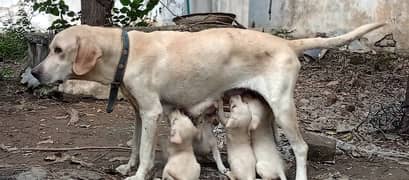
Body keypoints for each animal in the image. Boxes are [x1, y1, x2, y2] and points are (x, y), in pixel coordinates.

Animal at [31, 22, 382, 180]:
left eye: (58, 50)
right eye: (50, 48)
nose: (34, 72)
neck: (125, 52)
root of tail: (286, 43)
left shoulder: (151, 113)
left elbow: (145, 153)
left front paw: (138, 174)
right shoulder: (139, 113)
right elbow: (134, 146)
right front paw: (127, 166)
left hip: (283, 109)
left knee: (302, 147)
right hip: (267, 110)